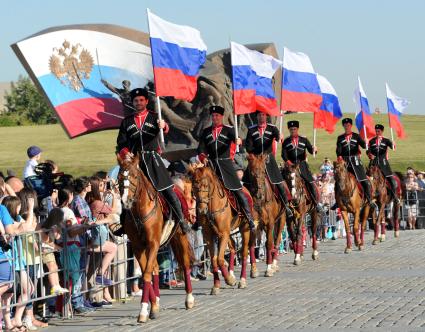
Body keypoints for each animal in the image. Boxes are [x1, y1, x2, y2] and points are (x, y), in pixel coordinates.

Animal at [117, 154, 194, 322]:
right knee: (156, 268)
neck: (140, 211)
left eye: (134, 176)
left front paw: (144, 310)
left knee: (185, 263)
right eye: (119, 177)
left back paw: (189, 298)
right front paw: (151, 307)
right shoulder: (139, 247)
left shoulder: (153, 243)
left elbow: (146, 274)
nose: (125, 202)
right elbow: (147, 272)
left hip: (179, 237)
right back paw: (156, 301)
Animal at [190, 166, 255, 294]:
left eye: (205, 185)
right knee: (233, 248)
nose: (201, 210)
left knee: (244, 252)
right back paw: (231, 273)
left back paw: (242, 280)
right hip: (229, 233)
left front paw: (229, 280)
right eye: (193, 186)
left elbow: (220, 259)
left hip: (245, 229)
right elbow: (214, 259)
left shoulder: (223, 234)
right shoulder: (210, 236)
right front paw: (216, 285)